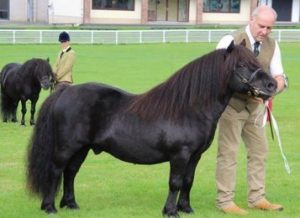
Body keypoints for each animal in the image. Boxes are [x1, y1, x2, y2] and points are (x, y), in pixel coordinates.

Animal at [27, 41, 278, 217]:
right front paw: (171, 211)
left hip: (82, 149)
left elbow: (188, 181)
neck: (190, 107)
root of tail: (65, 92)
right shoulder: (180, 155)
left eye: (256, 62)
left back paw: (71, 204)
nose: (272, 84)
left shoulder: (194, 156)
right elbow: (175, 182)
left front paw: (186, 208)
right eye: (242, 65)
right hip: (66, 147)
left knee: (70, 172)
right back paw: (49, 207)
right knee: (56, 171)